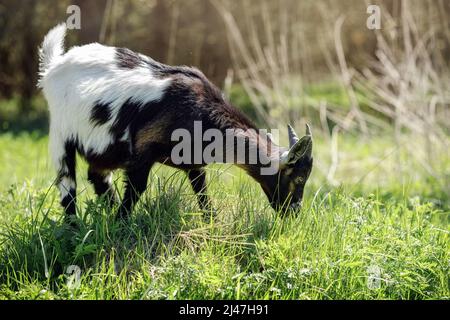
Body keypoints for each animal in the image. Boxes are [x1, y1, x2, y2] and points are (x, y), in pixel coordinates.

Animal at [37, 23, 312, 221]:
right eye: (298, 179)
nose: (294, 213)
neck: (201, 111)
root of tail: (54, 66)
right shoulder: (142, 151)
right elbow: (136, 189)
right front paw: (121, 224)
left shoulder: (193, 162)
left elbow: (202, 193)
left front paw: (212, 224)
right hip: (61, 135)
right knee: (67, 187)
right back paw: (74, 228)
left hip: (104, 149)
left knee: (97, 176)